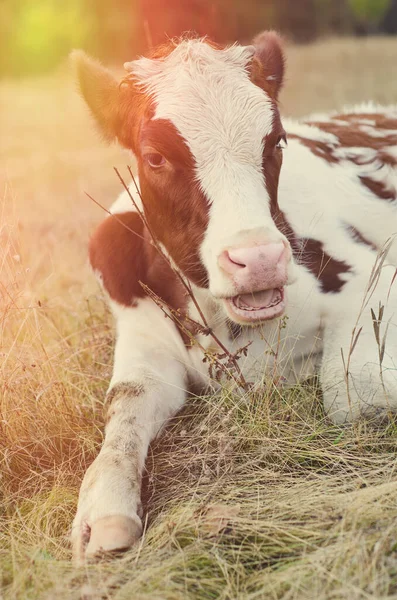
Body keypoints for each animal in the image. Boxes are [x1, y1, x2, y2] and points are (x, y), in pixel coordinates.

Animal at [70, 31, 396, 556]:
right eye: (155, 157)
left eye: (276, 141)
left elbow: (358, 398)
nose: (260, 258)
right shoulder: (141, 337)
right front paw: (103, 509)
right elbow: (125, 402)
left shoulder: (373, 275)